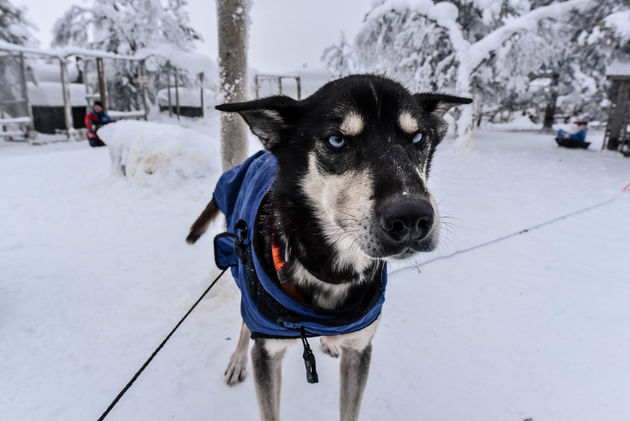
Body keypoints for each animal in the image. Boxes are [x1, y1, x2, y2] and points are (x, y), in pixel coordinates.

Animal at [189, 75, 474, 420]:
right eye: (337, 141)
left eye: (418, 137)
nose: (411, 216)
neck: (330, 271)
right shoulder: (268, 353)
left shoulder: (360, 348)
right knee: (246, 322)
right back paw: (238, 359)